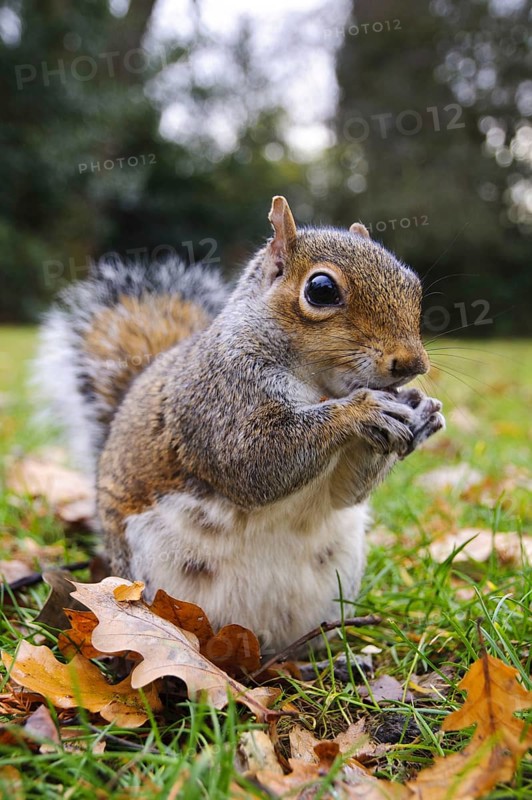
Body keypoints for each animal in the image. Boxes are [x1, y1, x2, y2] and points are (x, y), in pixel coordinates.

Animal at [36, 196, 444, 653]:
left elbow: (345, 494)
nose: (412, 364)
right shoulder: (214, 400)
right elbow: (251, 462)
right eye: (322, 290)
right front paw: (361, 411)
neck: (318, 384)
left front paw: (422, 413)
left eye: (413, 285)